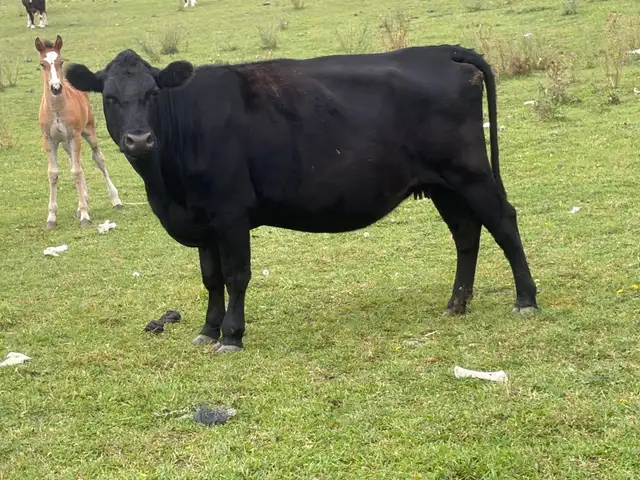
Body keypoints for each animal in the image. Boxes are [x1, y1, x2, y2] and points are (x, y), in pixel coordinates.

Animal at [66, 45, 538, 353]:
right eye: (110, 98)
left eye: (152, 94)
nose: (139, 139)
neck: (168, 191)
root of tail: (444, 51)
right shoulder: (201, 219)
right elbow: (211, 278)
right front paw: (208, 329)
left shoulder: (230, 213)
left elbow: (236, 275)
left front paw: (232, 336)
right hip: (444, 184)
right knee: (466, 234)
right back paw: (456, 304)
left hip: (470, 172)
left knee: (503, 222)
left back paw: (525, 300)